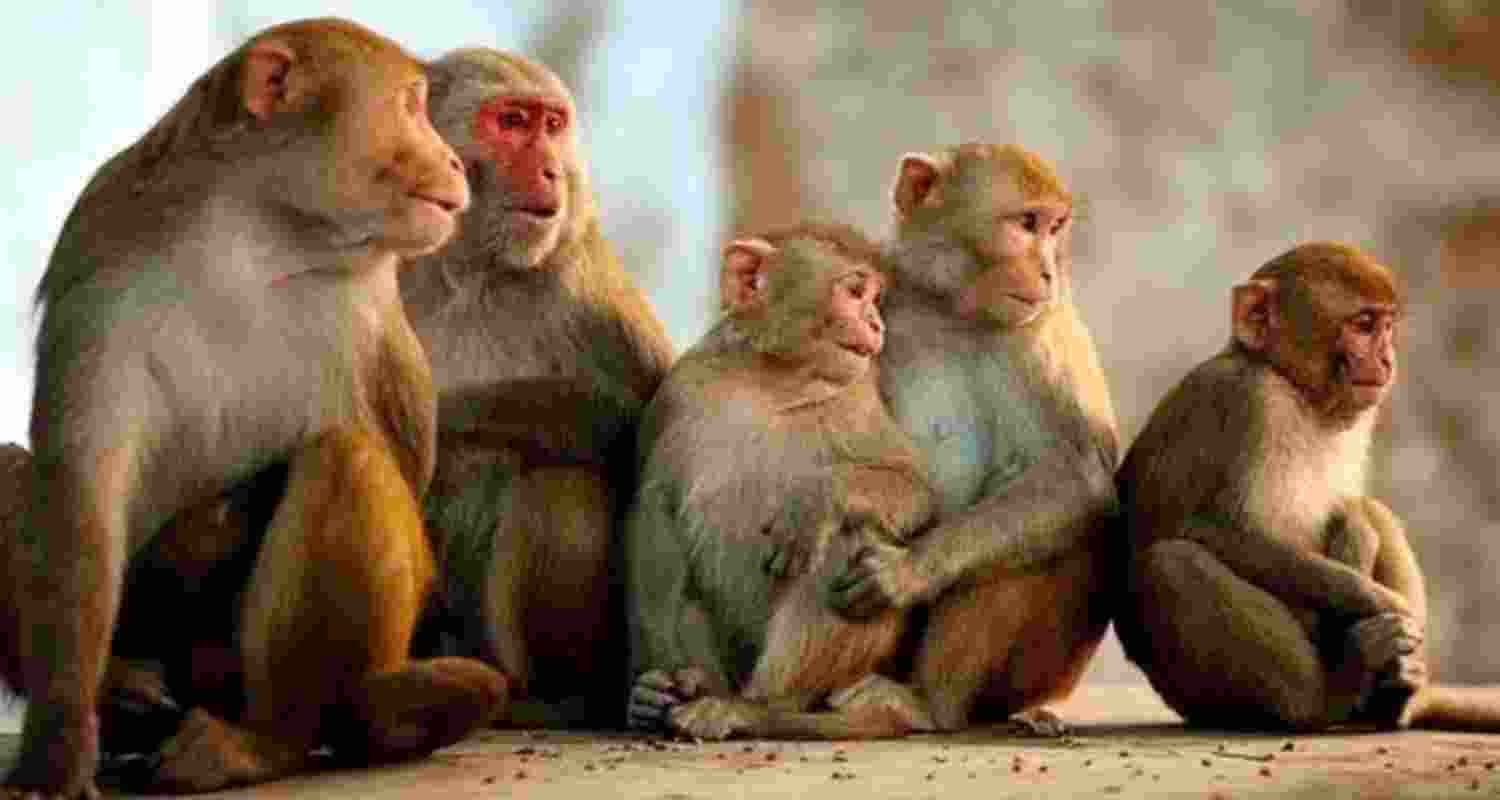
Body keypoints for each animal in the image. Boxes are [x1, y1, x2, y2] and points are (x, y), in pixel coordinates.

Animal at [2, 19, 507, 798]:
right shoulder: (102, 260)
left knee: (346, 457)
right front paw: (55, 753)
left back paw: (267, 740)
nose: (455, 160)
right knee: (9, 469)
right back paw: (124, 693)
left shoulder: (372, 310)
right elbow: (84, 487)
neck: (259, 233)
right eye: (411, 106)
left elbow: (398, 468)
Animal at [398, 49, 674, 728]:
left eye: (552, 125)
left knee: (560, 478)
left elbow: (643, 427)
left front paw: (447, 414)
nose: (551, 169)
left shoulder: (583, 286)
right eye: (513, 122)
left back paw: (554, 698)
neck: (469, 269)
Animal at [625, 224, 939, 741]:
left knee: (848, 538)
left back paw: (755, 708)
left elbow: (916, 492)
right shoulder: (678, 391)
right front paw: (656, 680)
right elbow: (654, 506)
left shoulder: (857, 402)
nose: (877, 323)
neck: (771, 381)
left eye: (875, 299)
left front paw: (813, 503)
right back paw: (675, 695)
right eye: (856, 292)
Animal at [830, 143, 1119, 735]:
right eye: (1027, 223)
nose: (1049, 271)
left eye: (1055, 227)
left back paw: (930, 705)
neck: (951, 310)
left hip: (1042, 672)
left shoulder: (1043, 332)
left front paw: (906, 572)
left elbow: (1079, 475)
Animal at [1114, 241, 1500, 732]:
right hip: (1194, 693)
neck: (1293, 387)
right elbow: (1222, 532)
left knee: (1375, 512)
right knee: (1171, 565)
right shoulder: (1250, 399)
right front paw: (1377, 600)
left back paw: (1395, 695)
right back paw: (1330, 692)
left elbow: (1354, 510)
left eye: (1387, 326)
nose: (1387, 359)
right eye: (1364, 324)